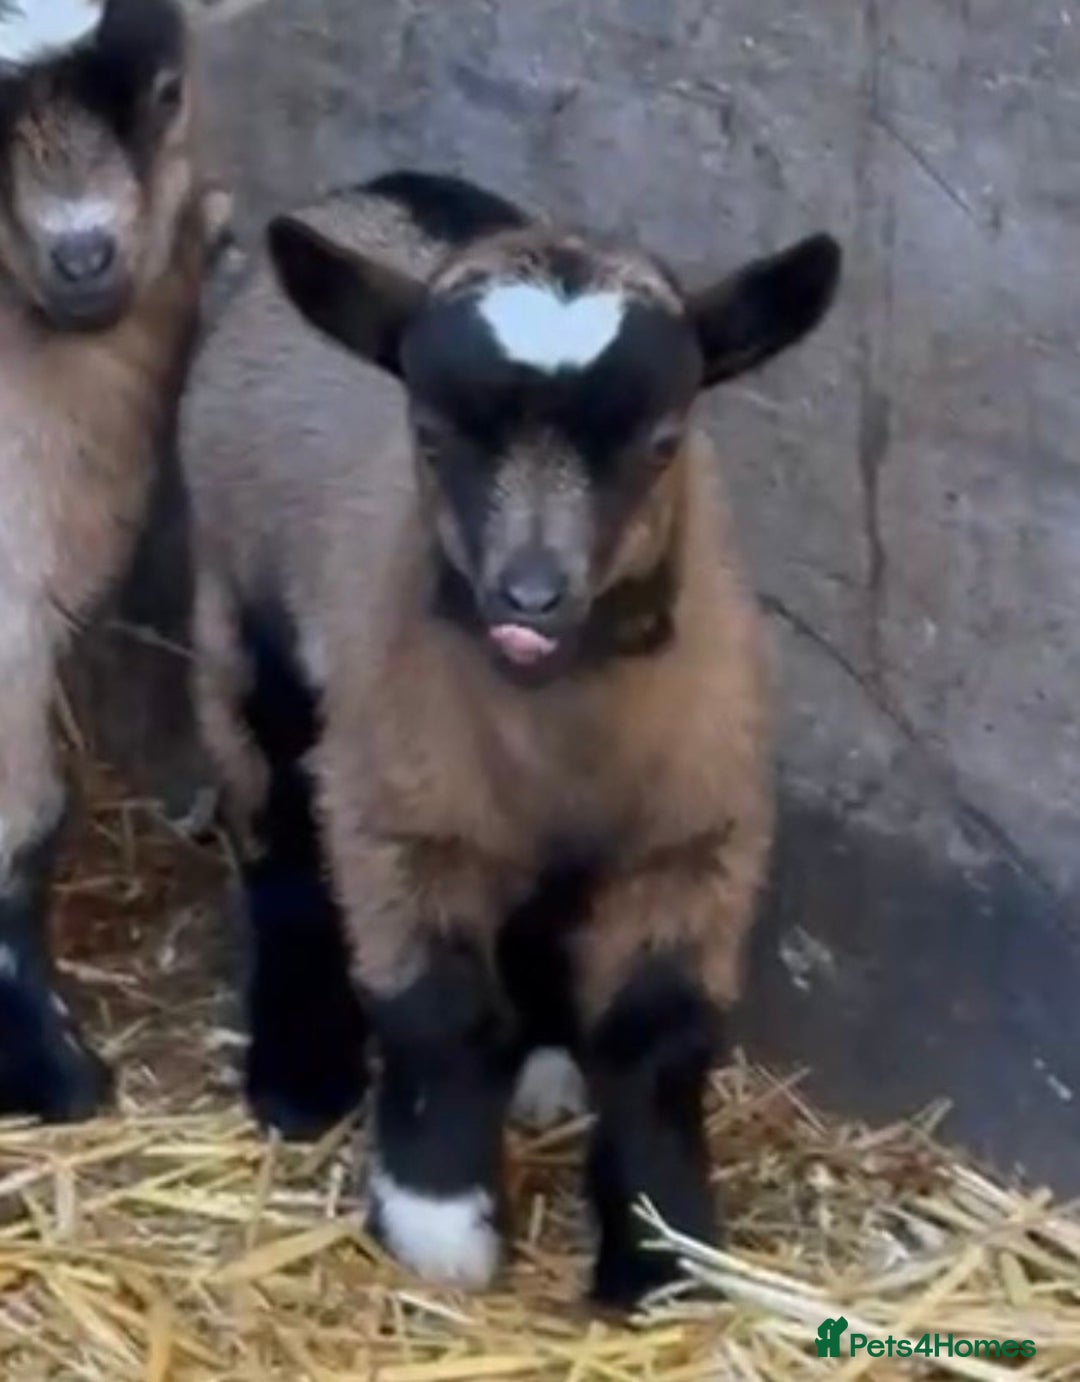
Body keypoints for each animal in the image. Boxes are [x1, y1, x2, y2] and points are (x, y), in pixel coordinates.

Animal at [182, 170, 841, 1306]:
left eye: (661, 442)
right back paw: (300, 1071)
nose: (529, 597)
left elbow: (656, 1038)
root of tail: (388, 186)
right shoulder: (403, 814)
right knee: (277, 845)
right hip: (244, 621)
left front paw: (659, 1248)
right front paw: (440, 1221)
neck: (559, 727)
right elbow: (438, 1011)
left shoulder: (697, 835)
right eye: (431, 434)